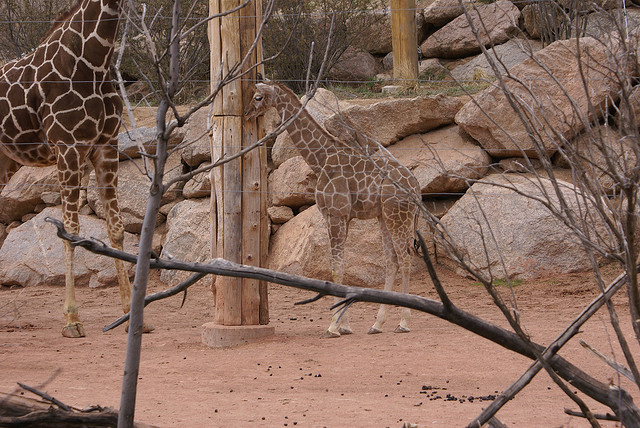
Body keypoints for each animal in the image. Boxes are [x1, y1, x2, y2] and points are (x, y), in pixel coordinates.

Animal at [0, 0, 151, 337]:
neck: (93, 61)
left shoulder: (106, 146)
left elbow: (116, 228)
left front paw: (130, 314)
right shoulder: (67, 147)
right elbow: (70, 230)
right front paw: (71, 320)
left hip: (4, 159)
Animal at [246, 82, 421, 337]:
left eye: (258, 97)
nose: (247, 113)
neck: (320, 159)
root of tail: (417, 187)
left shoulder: (336, 214)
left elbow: (336, 268)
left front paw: (333, 326)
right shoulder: (340, 216)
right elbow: (340, 267)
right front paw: (344, 325)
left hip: (397, 214)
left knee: (405, 257)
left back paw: (404, 323)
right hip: (384, 216)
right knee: (392, 260)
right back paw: (377, 324)